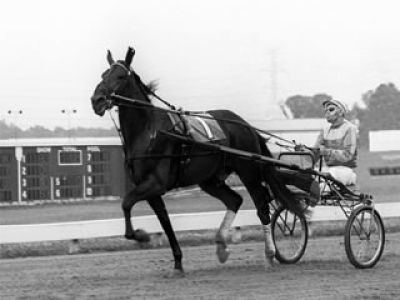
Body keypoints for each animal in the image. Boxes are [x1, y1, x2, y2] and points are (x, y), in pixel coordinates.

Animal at [90, 46, 308, 276]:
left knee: (262, 206)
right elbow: (164, 221)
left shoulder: (155, 183)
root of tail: (245, 124)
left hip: (248, 171)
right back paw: (221, 246)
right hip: (210, 179)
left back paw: (269, 254)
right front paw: (177, 262)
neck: (149, 132)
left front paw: (142, 236)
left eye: (120, 76)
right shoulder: (151, 189)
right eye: (103, 75)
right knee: (234, 200)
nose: (97, 100)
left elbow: (126, 202)